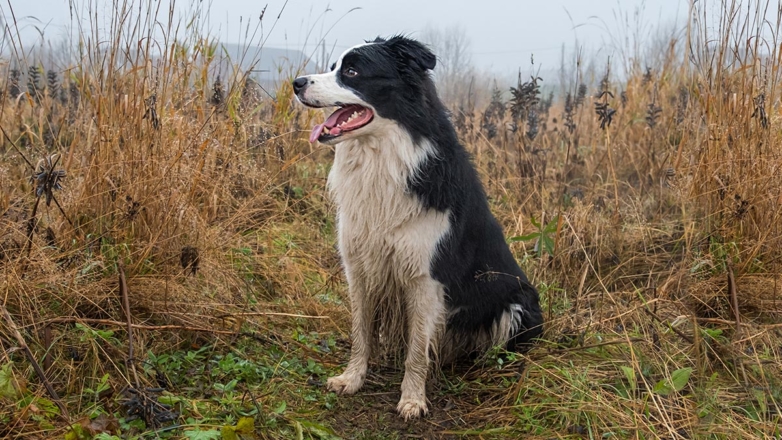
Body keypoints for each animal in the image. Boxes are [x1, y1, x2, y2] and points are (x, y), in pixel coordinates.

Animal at [290, 37, 544, 420]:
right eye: (333, 66)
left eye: (352, 71)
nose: (297, 83)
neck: (384, 159)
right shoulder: (359, 266)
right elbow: (361, 332)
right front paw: (352, 379)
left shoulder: (426, 278)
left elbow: (417, 350)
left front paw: (412, 399)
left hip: (517, 305)